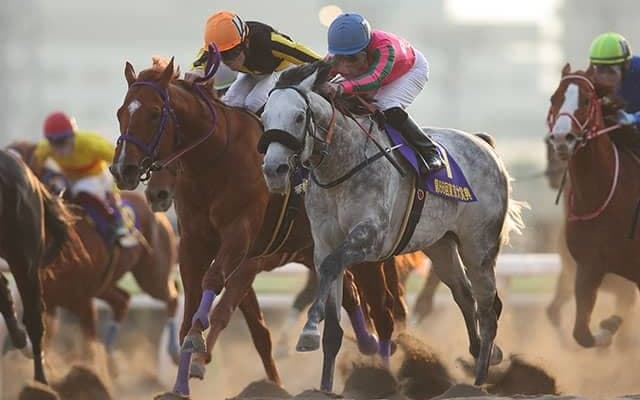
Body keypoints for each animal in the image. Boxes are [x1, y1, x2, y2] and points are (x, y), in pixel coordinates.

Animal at [5, 141, 180, 364]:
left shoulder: (83, 302)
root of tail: (159, 216)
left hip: (151, 275)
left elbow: (87, 349)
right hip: (105, 285)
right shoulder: (52, 304)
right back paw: (109, 354)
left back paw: (174, 349)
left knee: (172, 297)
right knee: (122, 300)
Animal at [110, 56, 404, 399]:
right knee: (352, 295)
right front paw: (182, 382)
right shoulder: (196, 243)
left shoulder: (241, 240)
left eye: (155, 113)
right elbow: (218, 313)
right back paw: (366, 345)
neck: (215, 159)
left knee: (382, 309)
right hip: (314, 251)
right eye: (121, 112)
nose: (123, 169)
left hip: (364, 249)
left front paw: (198, 350)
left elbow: (217, 293)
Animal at [260, 60, 526, 389]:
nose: (274, 169)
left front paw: (308, 330)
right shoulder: (323, 244)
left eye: (298, 116)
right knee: (464, 295)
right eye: (264, 116)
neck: (342, 165)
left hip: (479, 248)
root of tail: (485, 144)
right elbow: (332, 327)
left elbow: (334, 265)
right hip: (441, 246)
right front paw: (324, 384)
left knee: (488, 309)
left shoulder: (370, 237)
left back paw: (479, 381)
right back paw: (479, 355)